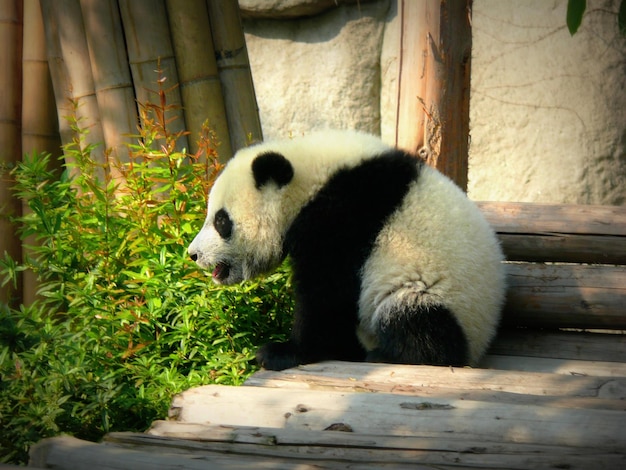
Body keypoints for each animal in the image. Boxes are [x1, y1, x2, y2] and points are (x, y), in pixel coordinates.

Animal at [188, 129, 504, 370]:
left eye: (221, 221)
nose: (193, 254)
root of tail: (481, 342)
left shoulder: (342, 218)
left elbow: (325, 294)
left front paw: (282, 352)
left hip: (435, 293)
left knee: (413, 319)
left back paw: (388, 355)